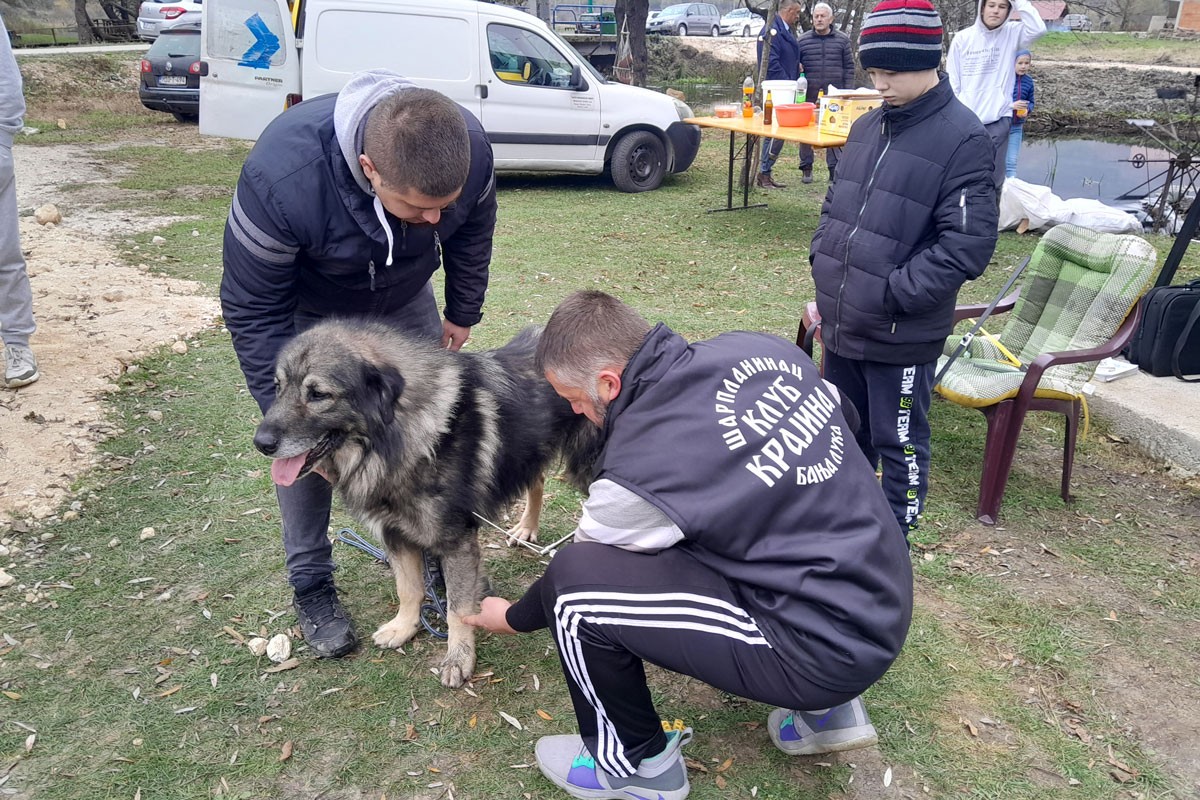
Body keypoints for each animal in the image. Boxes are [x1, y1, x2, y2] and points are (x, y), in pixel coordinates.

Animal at [250, 319, 597, 690]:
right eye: (277, 387)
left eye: (318, 394)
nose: (261, 443)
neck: (398, 437)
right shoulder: (395, 536)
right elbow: (409, 588)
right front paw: (405, 627)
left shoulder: (457, 542)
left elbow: (459, 608)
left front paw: (458, 657)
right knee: (538, 479)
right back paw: (527, 527)